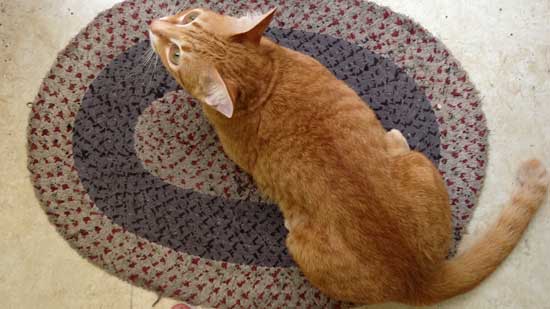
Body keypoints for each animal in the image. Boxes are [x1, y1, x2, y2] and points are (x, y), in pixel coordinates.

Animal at [149, 8, 548, 304]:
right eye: (186, 19)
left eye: (177, 52)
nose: (153, 25)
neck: (264, 80)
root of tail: (419, 275)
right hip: (420, 165)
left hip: (302, 244)